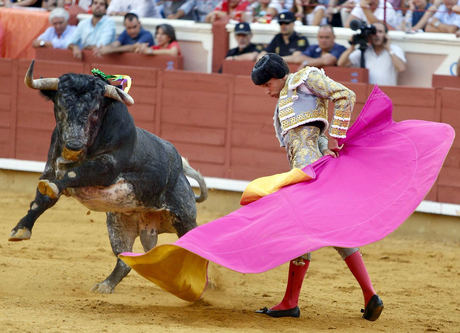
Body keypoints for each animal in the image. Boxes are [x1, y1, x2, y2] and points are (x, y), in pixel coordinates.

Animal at [9, 61, 208, 292]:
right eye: (60, 106)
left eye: (95, 110)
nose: (74, 144)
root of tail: (181, 172)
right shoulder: (50, 167)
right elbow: (41, 199)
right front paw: (20, 230)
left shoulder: (107, 167)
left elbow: (73, 174)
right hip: (119, 224)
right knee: (125, 260)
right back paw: (105, 286)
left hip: (184, 218)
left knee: (196, 251)